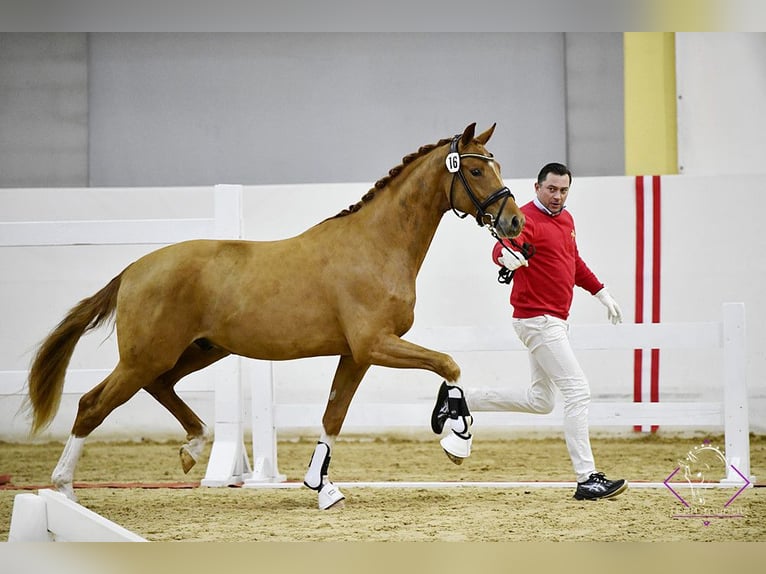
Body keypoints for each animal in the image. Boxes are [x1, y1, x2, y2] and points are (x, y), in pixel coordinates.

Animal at [25, 124, 528, 510]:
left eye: (497, 165)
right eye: (477, 169)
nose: (515, 224)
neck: (376, 246)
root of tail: (134, 269)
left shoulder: (357, 354)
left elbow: (334, 415)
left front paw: (321, 487)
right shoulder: (375, 344)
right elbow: (449, 365)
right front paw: (456, 439)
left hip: (198, 351)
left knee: (160, 386)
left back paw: (192, 447)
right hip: (145, 357)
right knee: (92, 405)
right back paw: (64, 490)